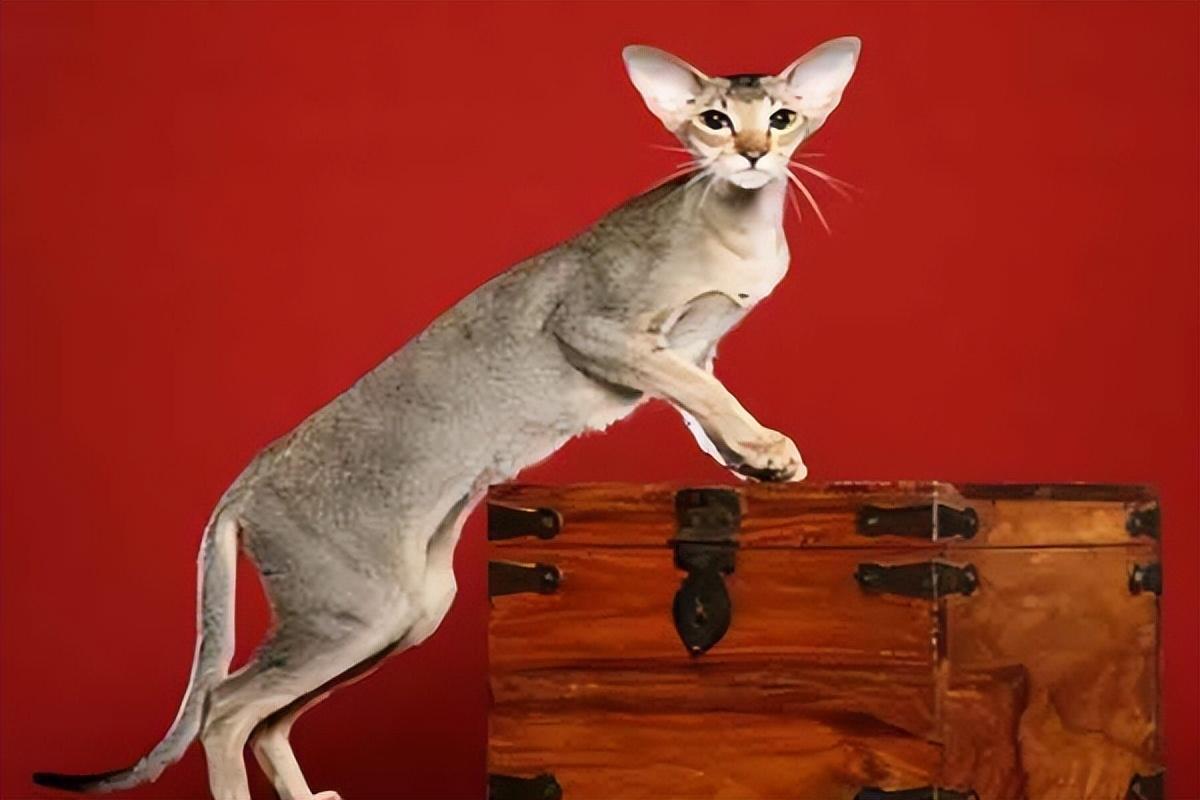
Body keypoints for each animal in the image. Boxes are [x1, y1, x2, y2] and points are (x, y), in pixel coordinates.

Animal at [34, 37, 860, 800]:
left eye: (781, 119)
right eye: (716, 120)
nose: (752, 155)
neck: (738, 232)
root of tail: (246, 478)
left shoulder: (695, 349)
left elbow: (700, 405)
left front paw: (753, 461)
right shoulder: (597, 328)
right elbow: (703, 396)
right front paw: (767, 447)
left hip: (410, 611)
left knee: (267, 717)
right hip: (359, 609)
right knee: (225, 709)